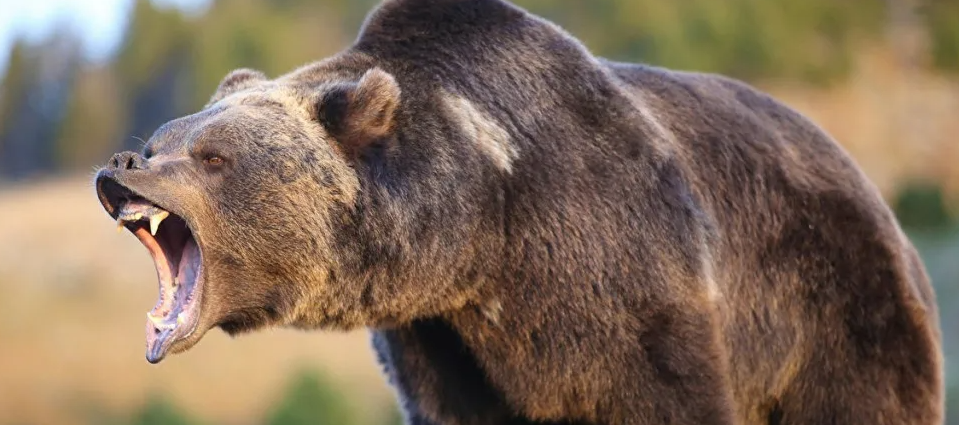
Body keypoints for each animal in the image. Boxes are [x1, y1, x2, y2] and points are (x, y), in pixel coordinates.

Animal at [95, 0, 944, 424]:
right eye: (161, 138)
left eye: (212, 156)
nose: (121, 165)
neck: (480, 235)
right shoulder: (441, 343)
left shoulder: (625, 271)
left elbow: (666, 389)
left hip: (832, 309)